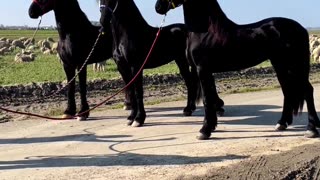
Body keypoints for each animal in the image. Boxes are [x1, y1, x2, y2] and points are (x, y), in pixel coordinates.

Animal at [156, 0, 320, 139]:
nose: (158, 7)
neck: (205, 31)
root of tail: (301, 29)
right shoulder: (206, 72)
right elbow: (210, 98)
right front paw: (212, 126)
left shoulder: (202, 70)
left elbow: (207, 99)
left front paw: (204, 131)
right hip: (280, 65)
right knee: (288, 91)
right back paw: (282, 123)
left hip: (294, 66)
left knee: (307, 91)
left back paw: (311, 129)